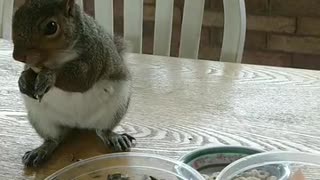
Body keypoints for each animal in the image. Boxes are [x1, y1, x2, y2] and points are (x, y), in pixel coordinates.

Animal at [11, 0, 135, 167]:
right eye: (16, 15)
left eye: (51, 26)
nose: (17, 56)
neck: (56, 58)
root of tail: (78, 124)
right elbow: (28, 70)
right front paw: (23, 80)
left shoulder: (94, 56)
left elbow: (81, 80)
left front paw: (49, 77)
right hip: (41, 118)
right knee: (54, 139)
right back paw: (41, 150)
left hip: (115, 108)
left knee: (102, 130)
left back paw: (114, 137)